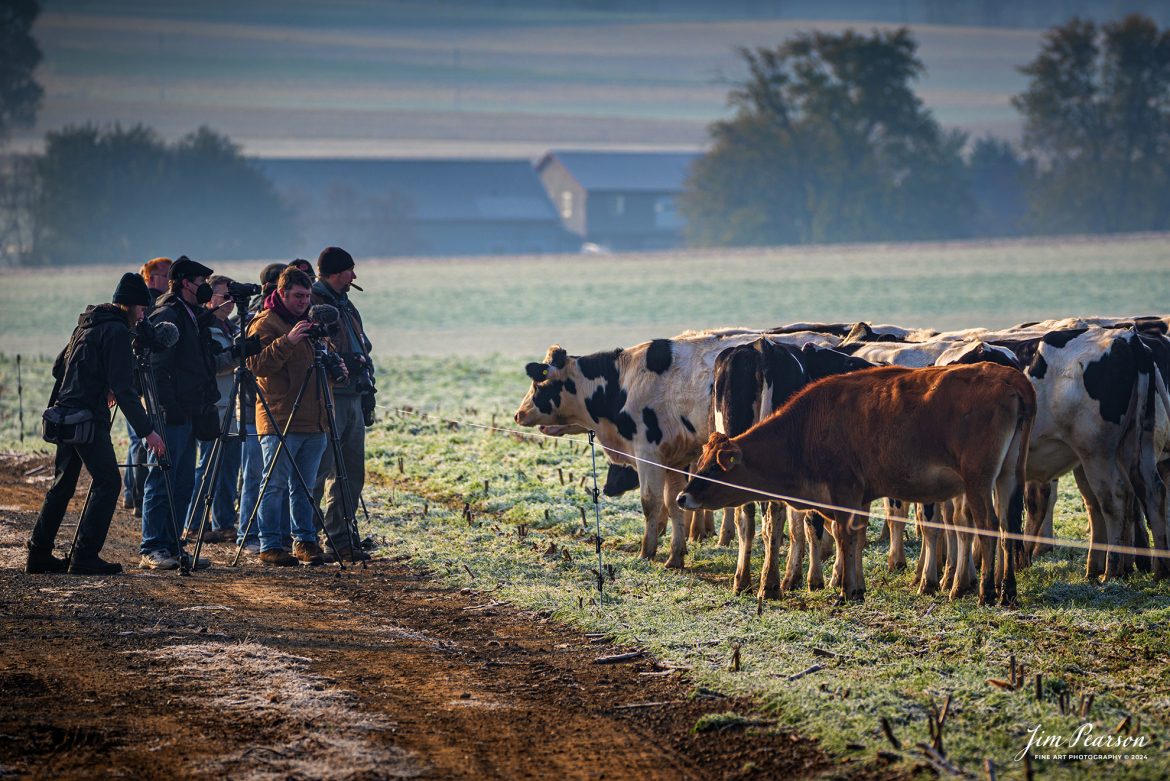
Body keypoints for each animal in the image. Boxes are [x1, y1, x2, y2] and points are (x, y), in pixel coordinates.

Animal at [678, 362, 1034, 607]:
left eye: (713, 468)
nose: (683, 496)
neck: (805, 430)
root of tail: (1009, 376)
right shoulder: (861, 494)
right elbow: (858, 537)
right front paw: (857, 587)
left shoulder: (843, 490)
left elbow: (843, 535)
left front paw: (845, 590)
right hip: (1007, 477)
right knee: (1007, 528)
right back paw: (1007, 591)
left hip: (978, 480)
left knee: (988, 527)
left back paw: (984, 591)